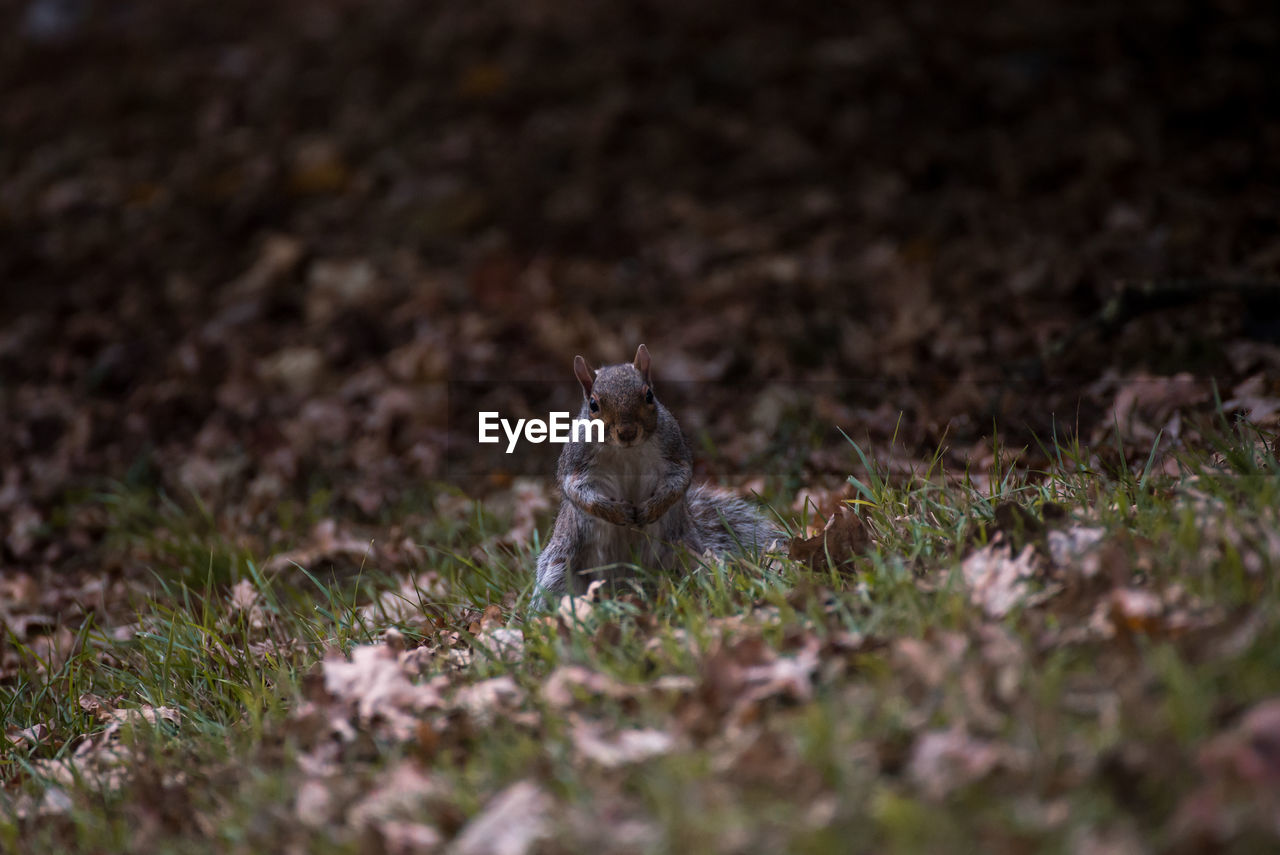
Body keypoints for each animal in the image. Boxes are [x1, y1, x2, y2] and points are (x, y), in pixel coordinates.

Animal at [529, 343, 778, 606]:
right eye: (594, 405)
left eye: (649, 395)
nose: (627, 432)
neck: (626, 450)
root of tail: (626, 582)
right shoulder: (575, 462)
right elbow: (576, 491)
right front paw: (616, 512)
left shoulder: (673, 448)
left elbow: (680, 479)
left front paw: (651, 509)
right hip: (561, 567)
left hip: (689, 554)